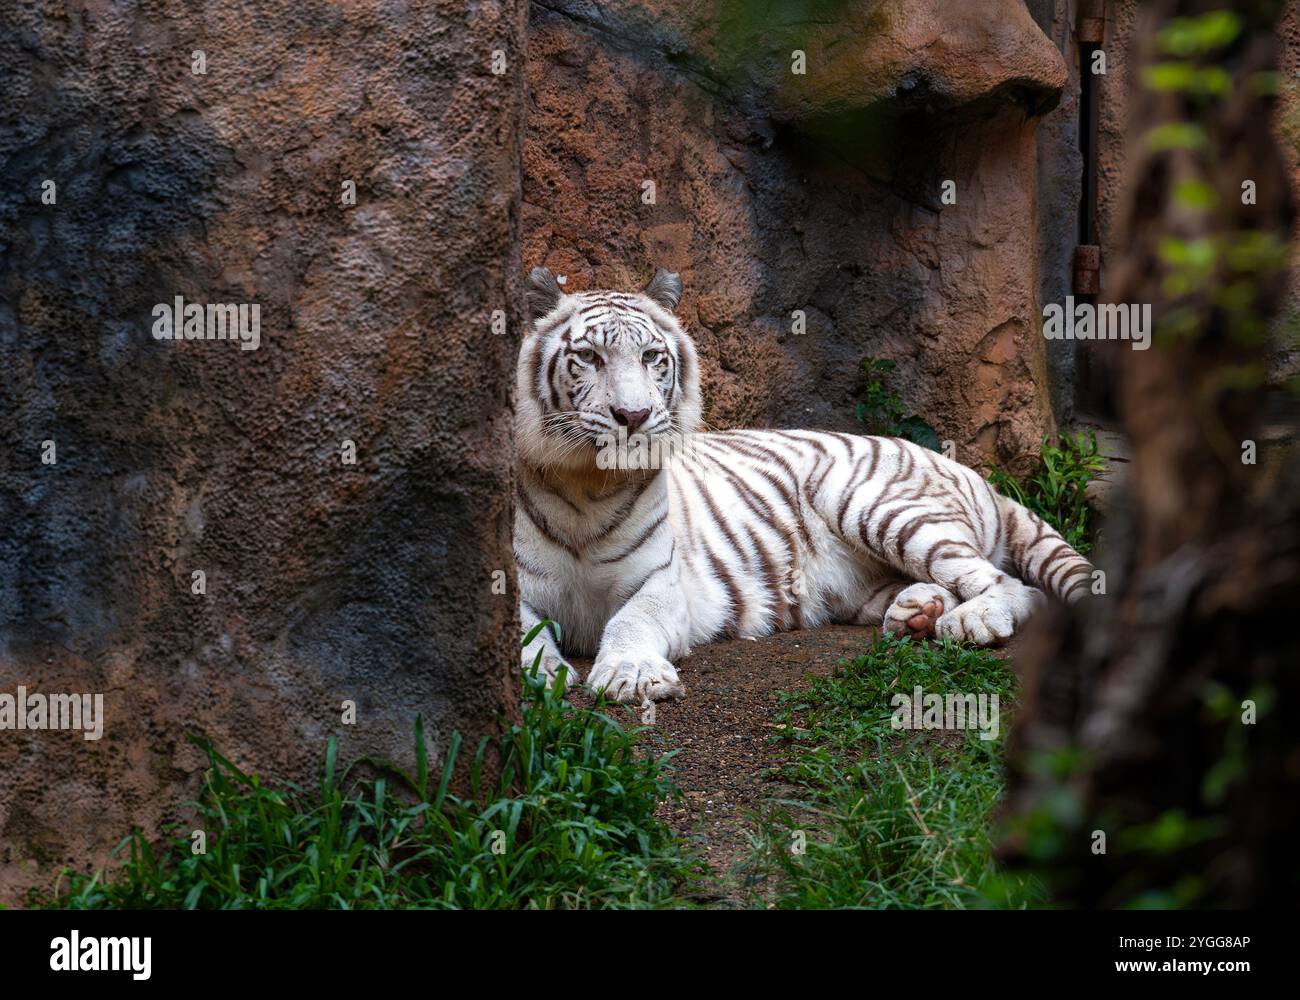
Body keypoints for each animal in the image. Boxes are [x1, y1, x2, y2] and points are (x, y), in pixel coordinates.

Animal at [515, 266, 1093, 704]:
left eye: (652, 358)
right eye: (589, 357)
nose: (633, 416)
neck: (589, 485)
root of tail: (976, 475)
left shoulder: (660, 581)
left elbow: (633, 620)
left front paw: (631, 674)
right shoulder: (511, 587)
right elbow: (523, 637)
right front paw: (540, 675)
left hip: (878, 508)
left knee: (1011, 585)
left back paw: (970, 621)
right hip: (857, 583)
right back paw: (918, 614)